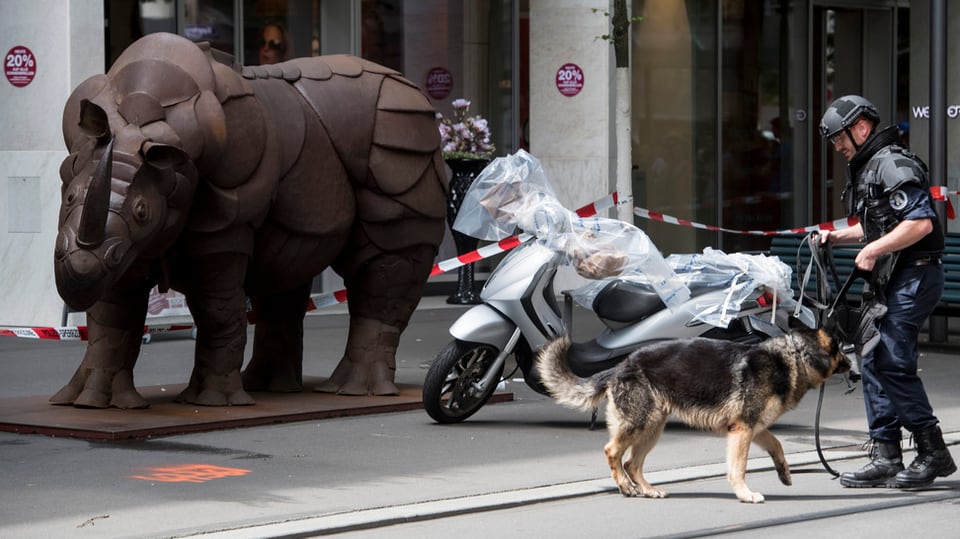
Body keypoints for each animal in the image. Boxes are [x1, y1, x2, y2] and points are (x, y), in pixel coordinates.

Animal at [536, 326, 852, 504]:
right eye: (839, 348)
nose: (852, 361)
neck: (793, 357)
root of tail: (620, 366)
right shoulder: (743, 430)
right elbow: (739, 468)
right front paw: (745, 494)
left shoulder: (753, 428)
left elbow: (777, 444)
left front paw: (784, 472)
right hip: (640, 423)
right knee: (612, 452)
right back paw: (626, 487)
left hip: (653, 429)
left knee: (631, 463)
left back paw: (648, 490)